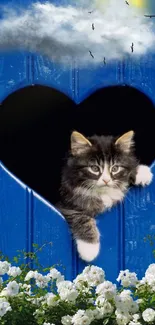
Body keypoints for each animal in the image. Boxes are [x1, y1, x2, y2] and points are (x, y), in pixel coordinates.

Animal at [57, 130, 153, 260]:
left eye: (115, 168)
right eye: (94, 168)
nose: (106, 180)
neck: (102, 192)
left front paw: (140, 172)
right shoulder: (65, 205)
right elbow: (81, 218)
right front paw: (89, 248)